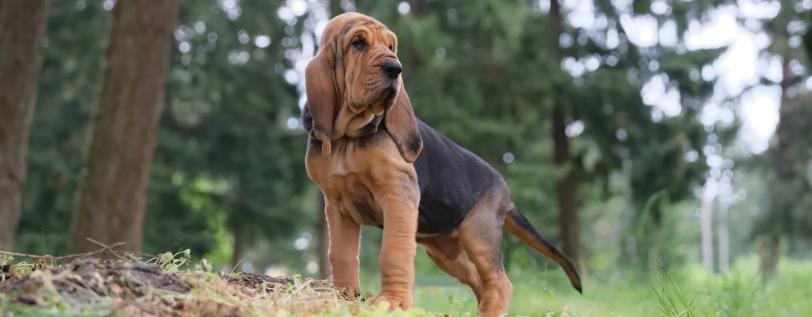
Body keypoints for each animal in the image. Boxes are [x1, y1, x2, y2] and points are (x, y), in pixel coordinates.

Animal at [302, 11, 580, 314]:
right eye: (358, 43)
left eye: (391, 46)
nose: (395, 68)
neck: (348, 138)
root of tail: (506, 193)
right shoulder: (337, 206)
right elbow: (341, 254)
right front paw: (342, 297)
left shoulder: (398, 194)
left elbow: (393, 251)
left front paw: (391, 301)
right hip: (446, 251)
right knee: (478, 280)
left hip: (477, 234)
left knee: (500, 283)